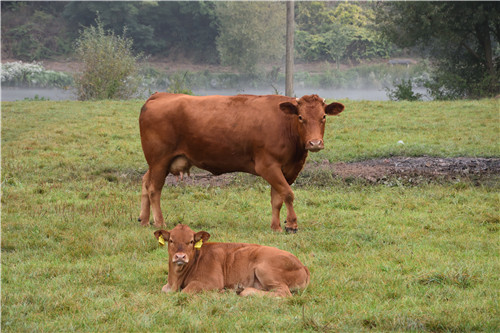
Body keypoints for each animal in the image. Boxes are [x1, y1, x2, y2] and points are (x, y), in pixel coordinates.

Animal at [141, 91, 344, 231]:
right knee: (154, 189)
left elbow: (277, 198)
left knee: (145, 182)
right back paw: (159, 222)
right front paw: (291, 225)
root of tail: (159, 95)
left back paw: (144, 219)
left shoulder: (288, 169)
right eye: (301, 117)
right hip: (159, 160)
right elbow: (287, 194)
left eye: (323, 117)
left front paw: (276, 226)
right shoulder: (268, 166)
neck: (285, 124)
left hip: (157, 163)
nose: (315, 143)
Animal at [154, 223, 310, 296]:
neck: (176, 279)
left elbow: (185, 292)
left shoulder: (211, 282)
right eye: (171, 240)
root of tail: (303, 266)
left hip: (265, 270)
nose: (180, 256)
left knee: (283, 293)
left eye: (191, 241)